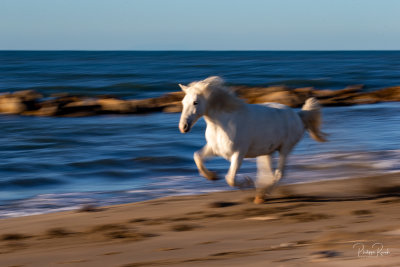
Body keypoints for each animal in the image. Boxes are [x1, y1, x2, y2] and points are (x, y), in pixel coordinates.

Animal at [178, 76, 324, 204]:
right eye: (183, 102)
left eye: (195, 102)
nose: (183, 127)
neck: (224, 123)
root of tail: (298, 115)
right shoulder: (214, 149)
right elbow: (197, 156)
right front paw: (212, 176)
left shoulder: (238, 154)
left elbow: (230, 178)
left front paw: (248, 183)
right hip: (267, 152)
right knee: (270, 174)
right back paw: (261, 194)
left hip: (285, 149)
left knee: (279, 174)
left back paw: (261, 196)